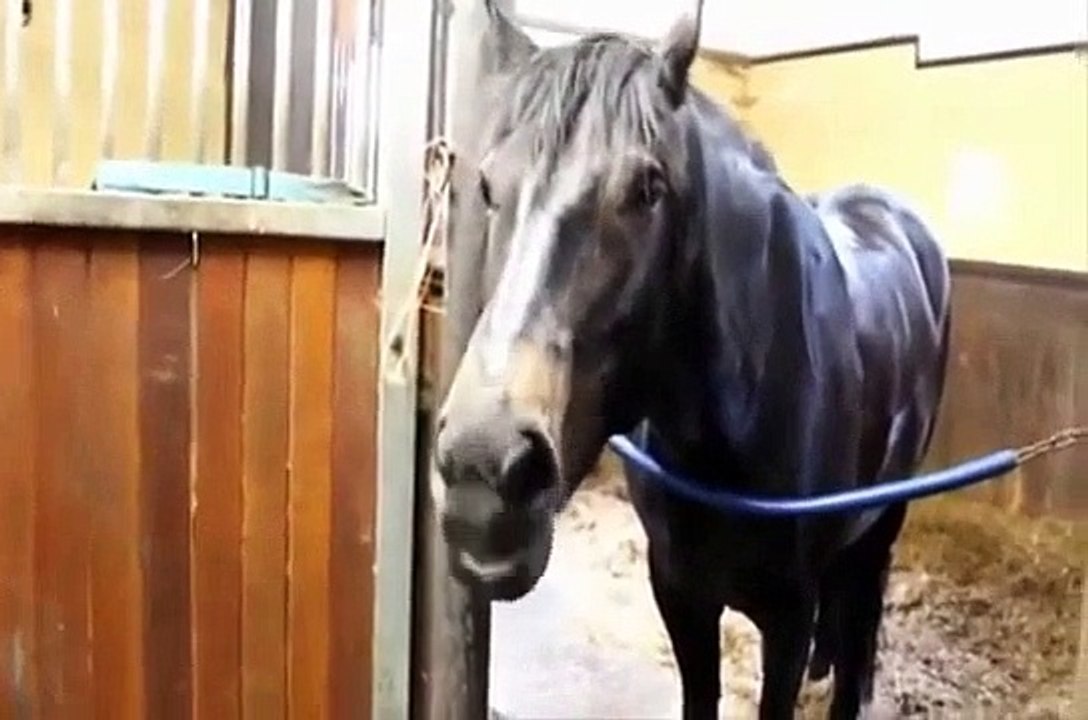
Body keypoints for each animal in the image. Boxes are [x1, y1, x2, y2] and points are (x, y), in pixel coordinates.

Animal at [434, 4, 952, 718]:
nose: (485, 472)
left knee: (861, 613)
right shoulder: (680, 595)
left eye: (650, 187)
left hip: (883, 520)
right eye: (486, 184)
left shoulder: (786, 619)